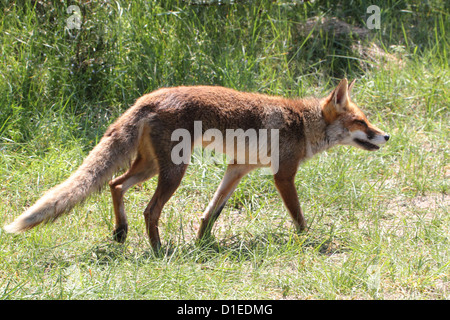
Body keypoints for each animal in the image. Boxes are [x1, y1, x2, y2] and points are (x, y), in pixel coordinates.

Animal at [3, 77, 388, 250]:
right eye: (361, 122)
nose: (386, 136)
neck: (301, 123)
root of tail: (147, 98)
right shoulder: (283, 176)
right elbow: (299, 217)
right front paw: (309, 242)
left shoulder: (237, 169)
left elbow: (211, 211)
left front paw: (204, 244)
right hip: (174, 171)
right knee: (149, 210)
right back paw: (158, 251)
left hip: (150, 168)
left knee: (114, 185)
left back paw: (121, 233)